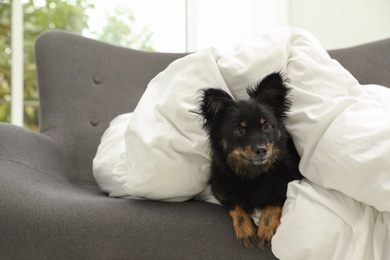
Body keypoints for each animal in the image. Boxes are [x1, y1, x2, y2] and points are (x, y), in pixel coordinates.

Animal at [198, 71, 302, 248]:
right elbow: (236, 207)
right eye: (239, 130)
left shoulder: (287, 185)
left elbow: (274, 204)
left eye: (267, 126)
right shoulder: (220, 191)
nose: (261, 149)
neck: (254, 175)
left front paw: (266, 230)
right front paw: (245, 229)